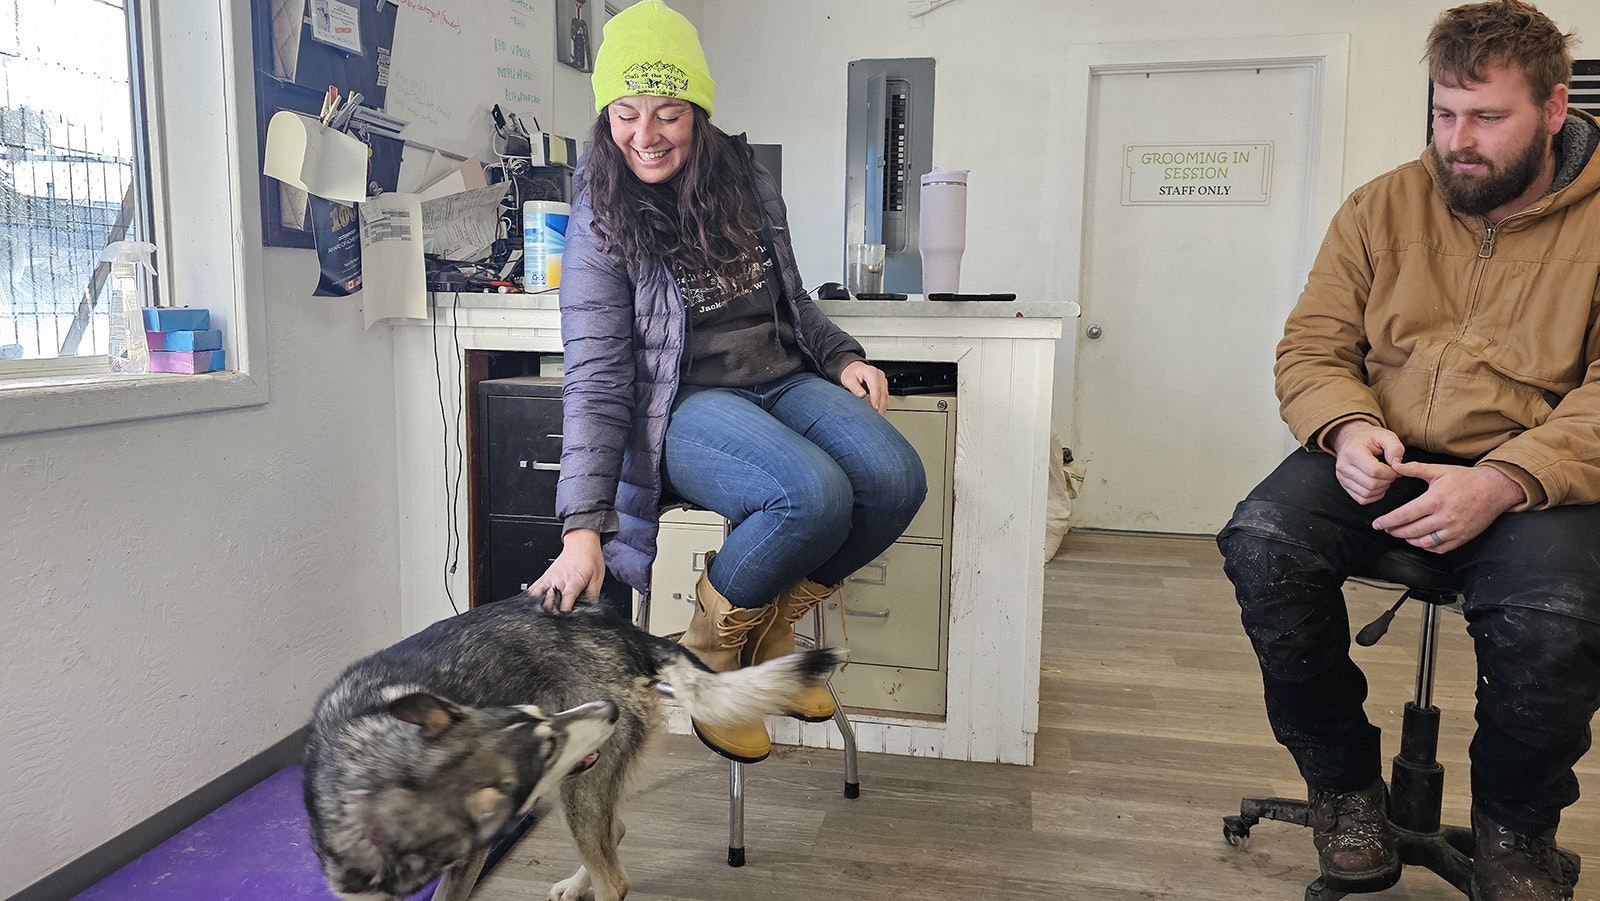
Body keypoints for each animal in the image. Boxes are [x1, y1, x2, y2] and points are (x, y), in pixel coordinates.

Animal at [304, 598, 844, 901]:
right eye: (543, 740)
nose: (604, 710)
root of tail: (621, 627)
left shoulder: (467, 865)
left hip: (578, 794)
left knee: (615, 879)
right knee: (616, 831)